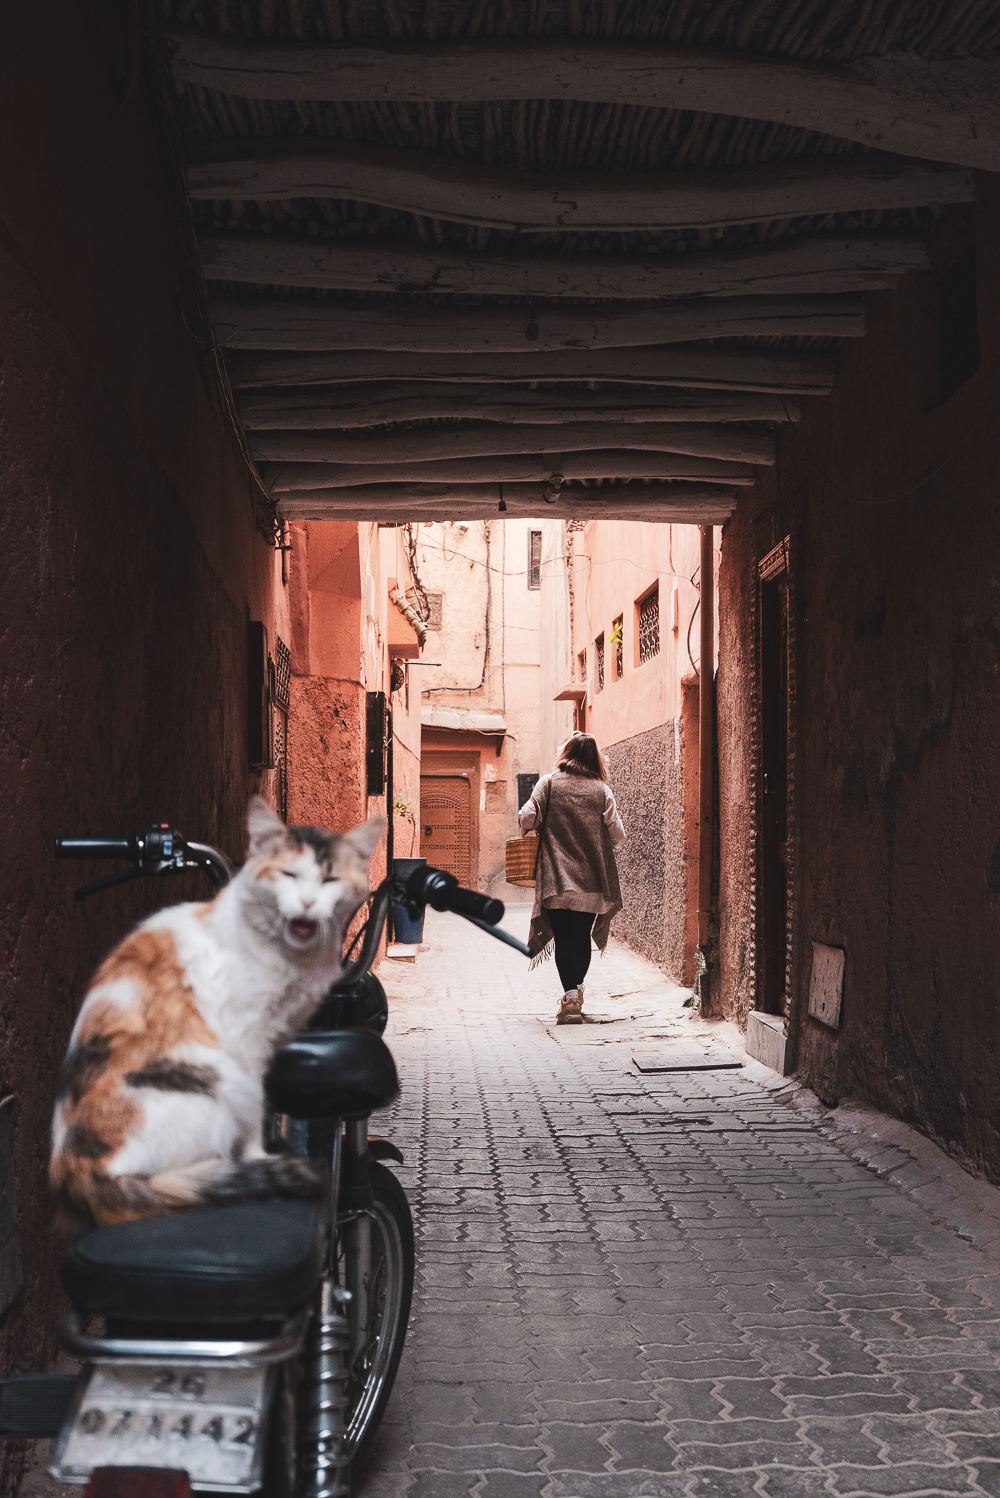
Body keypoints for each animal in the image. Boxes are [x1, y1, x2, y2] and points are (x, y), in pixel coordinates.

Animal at [49, 796, 386, 1228]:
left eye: (330, 880)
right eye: (289, 874)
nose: (308, 902)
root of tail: (73, 1174)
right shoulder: (247, 1041)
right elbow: (259, 1107)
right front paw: (258, 1156)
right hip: (217, 1081)